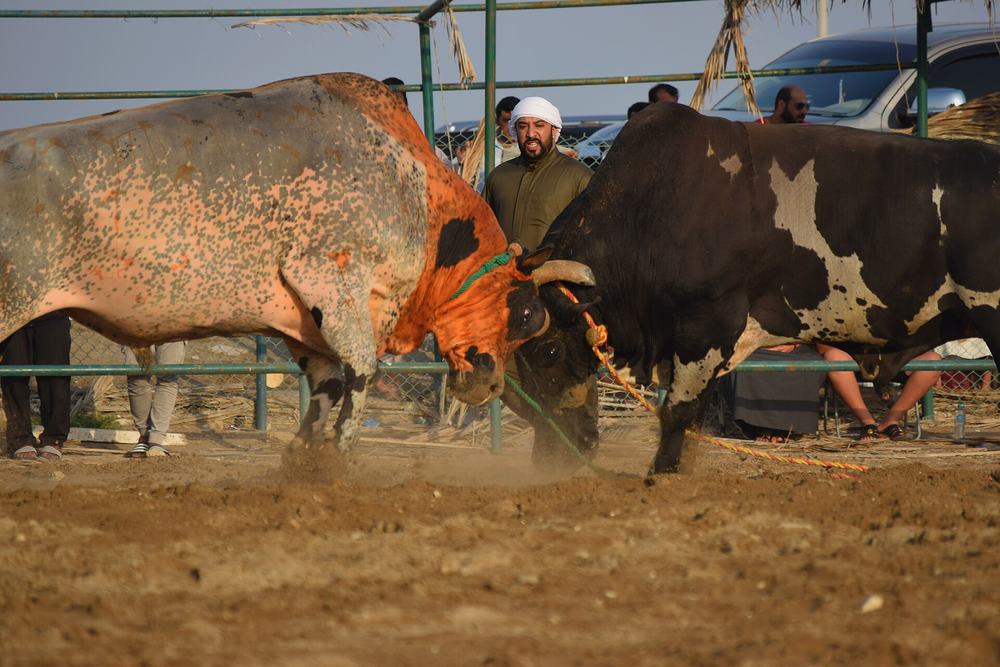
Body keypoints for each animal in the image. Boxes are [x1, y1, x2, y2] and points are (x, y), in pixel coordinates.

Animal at [0, 72, 592, 455]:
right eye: (525, 316)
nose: (490, 386)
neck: (414, 190)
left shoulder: (308, 327)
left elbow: (325, 395)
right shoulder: (334, 287)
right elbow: (360, 377)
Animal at [513, 102, 1000, 475]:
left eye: (549, 350)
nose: (556, 452)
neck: (653, 209)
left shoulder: (705, 327)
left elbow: (678, 412)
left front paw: (661, 473)